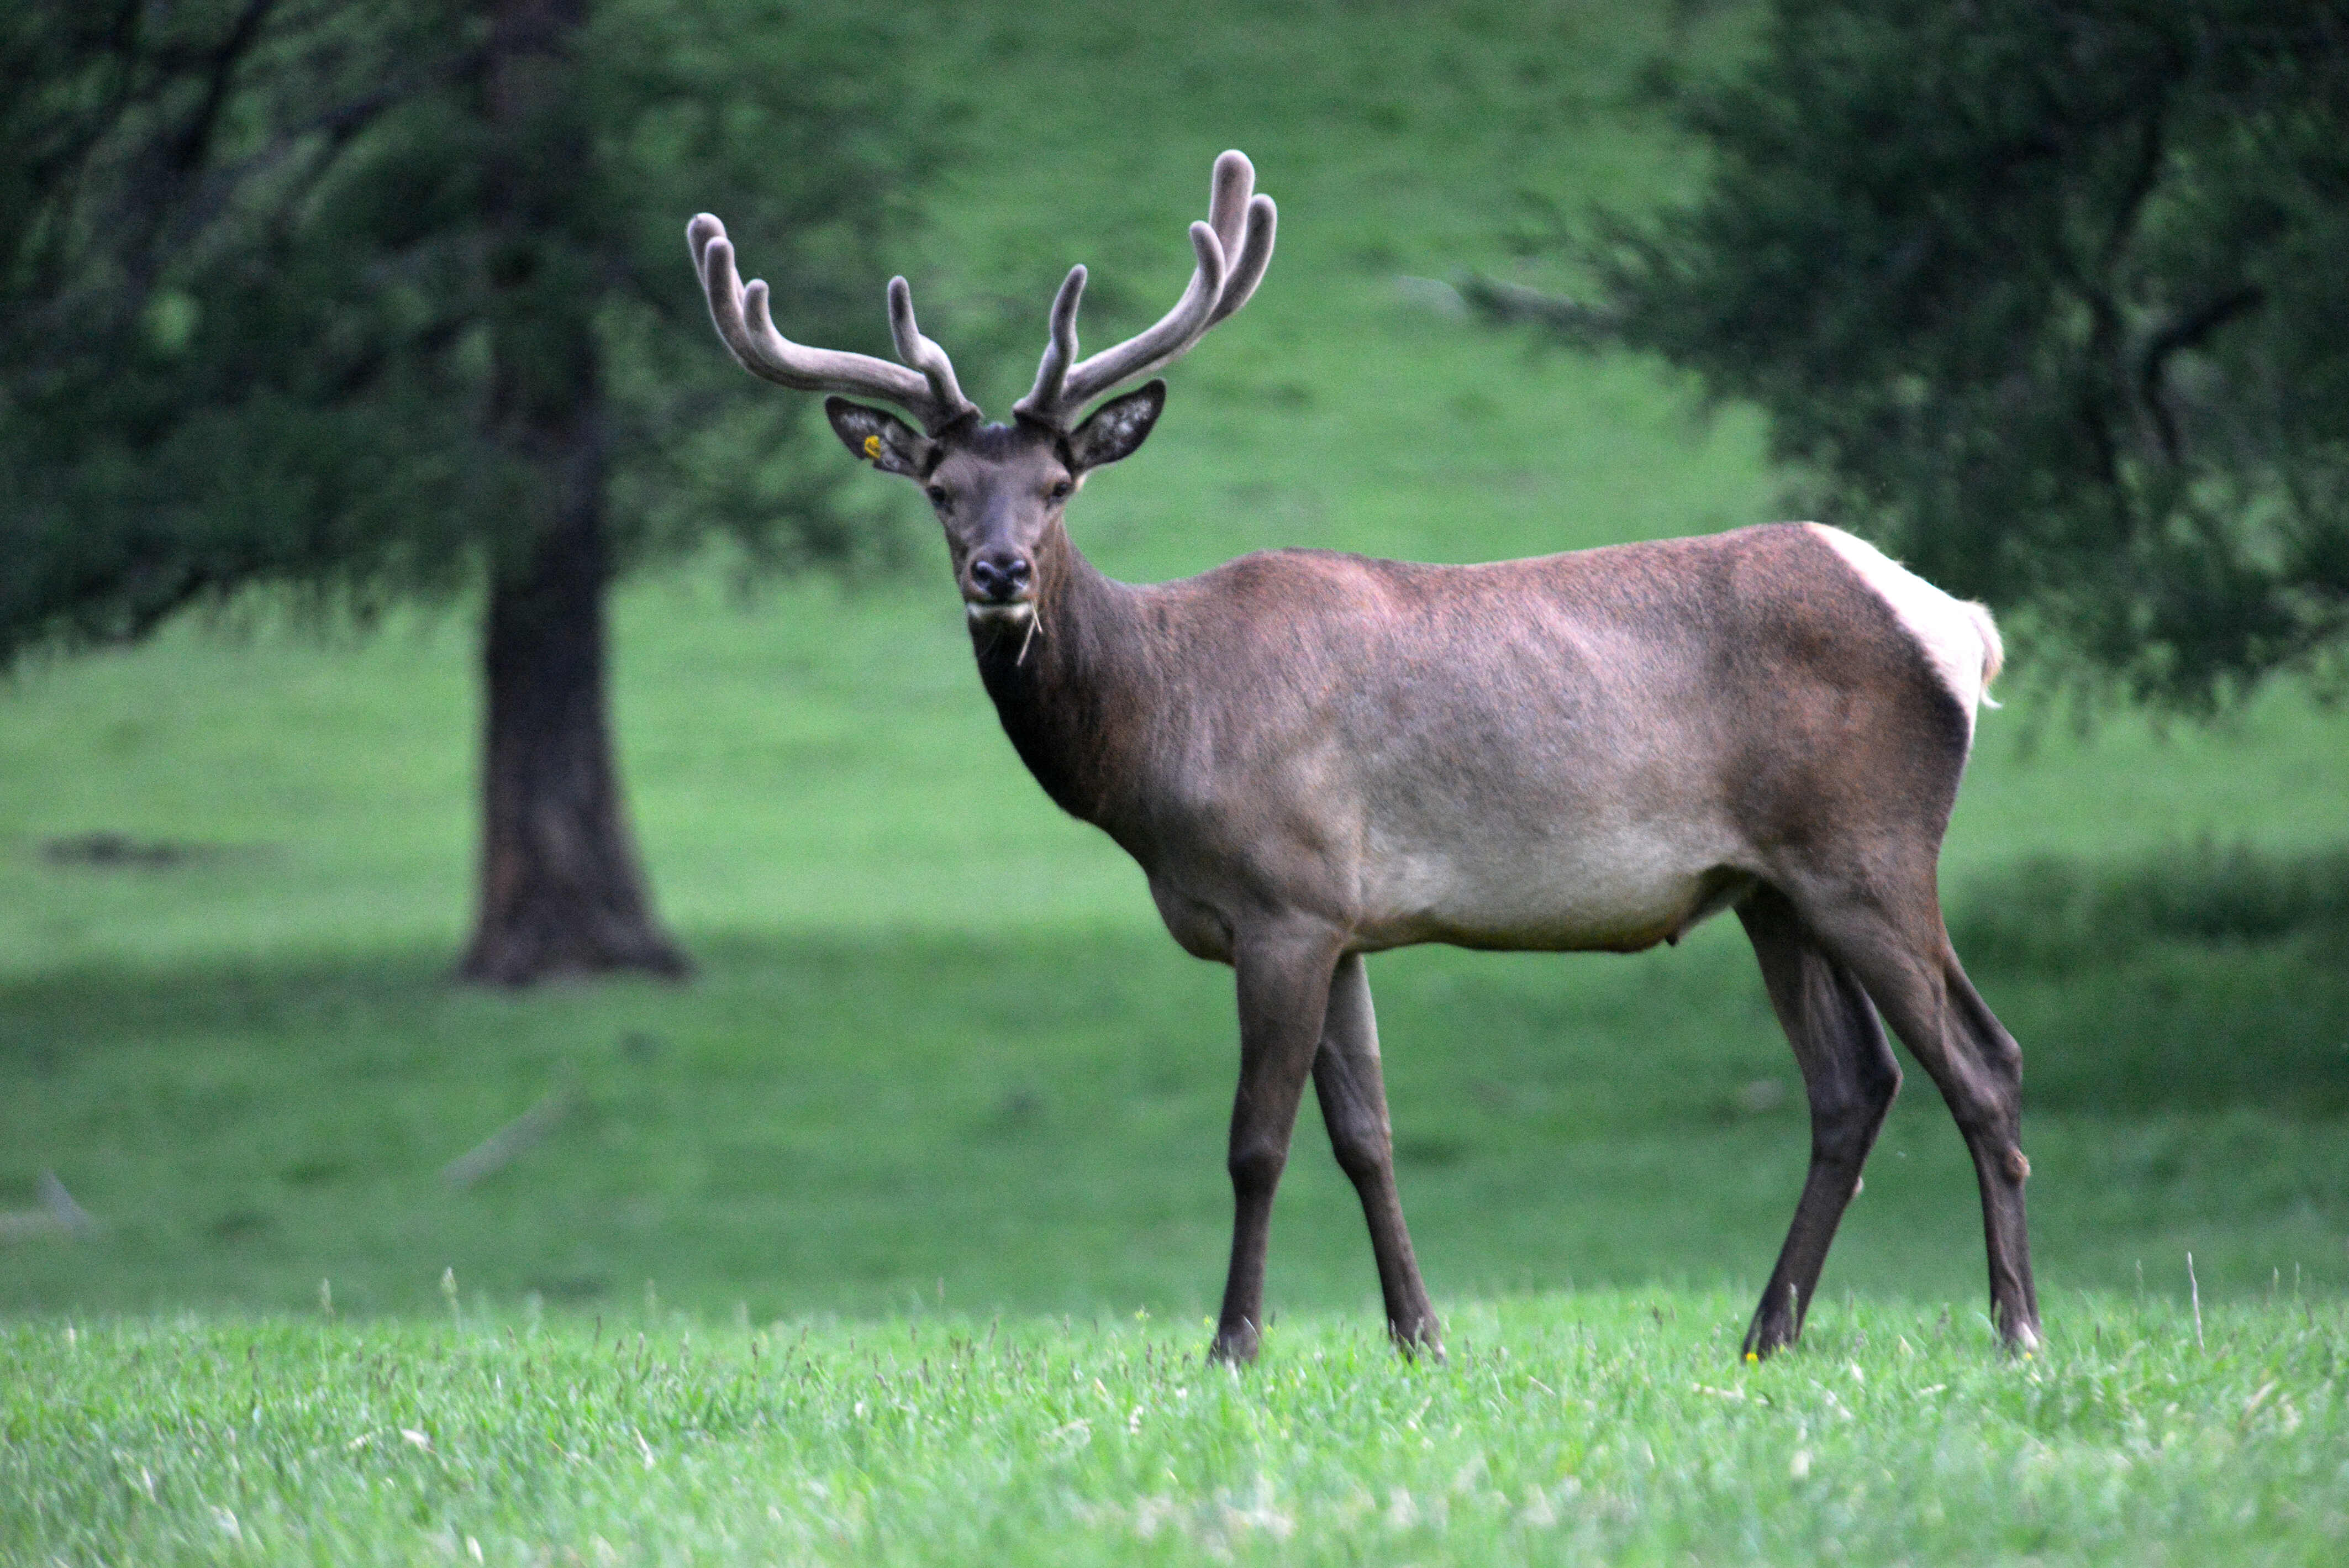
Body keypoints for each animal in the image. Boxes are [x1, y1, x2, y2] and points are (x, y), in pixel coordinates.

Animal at [686, 152, 2039, 1363]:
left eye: (1061, 483)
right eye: (939, 489)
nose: (1000, 572)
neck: (1159, 743)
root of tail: (1960, 628)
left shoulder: (1283, 895)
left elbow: (1257, 1141)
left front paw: (1233, 1343)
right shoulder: (1341, 916)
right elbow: (1366, 1134)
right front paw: (1419, 1335)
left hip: (1868, 844)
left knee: (1982, 1058)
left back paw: (2011, 1326)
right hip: (1769, 885)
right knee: (1852, 1085)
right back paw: (1766, 1333)